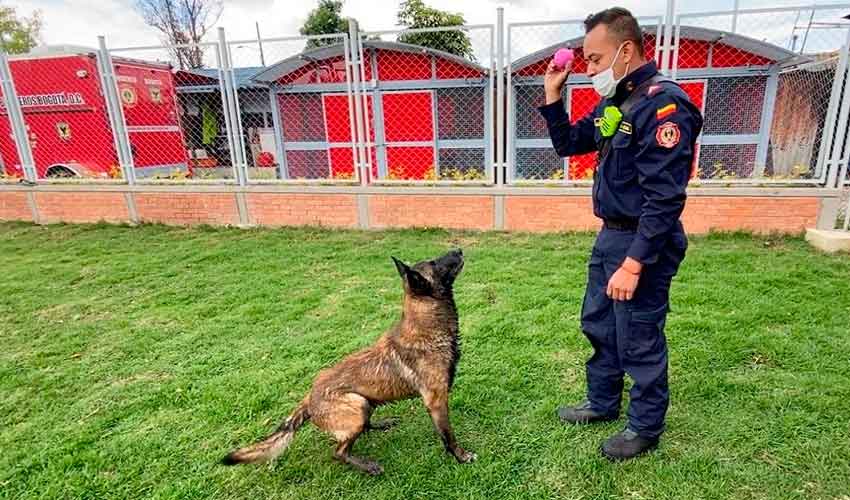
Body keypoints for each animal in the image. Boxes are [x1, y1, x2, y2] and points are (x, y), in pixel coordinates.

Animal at [222, 248, 474, 474]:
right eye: (435, 263)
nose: (459, 249)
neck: (427, 327)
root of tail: (309, 397)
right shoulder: (436, 401)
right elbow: (448, 435)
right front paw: (461, 456)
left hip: (364, 402)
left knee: (364, 426)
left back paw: (381, 424)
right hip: (356, 407)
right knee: (339, 452)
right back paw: (368, 466)